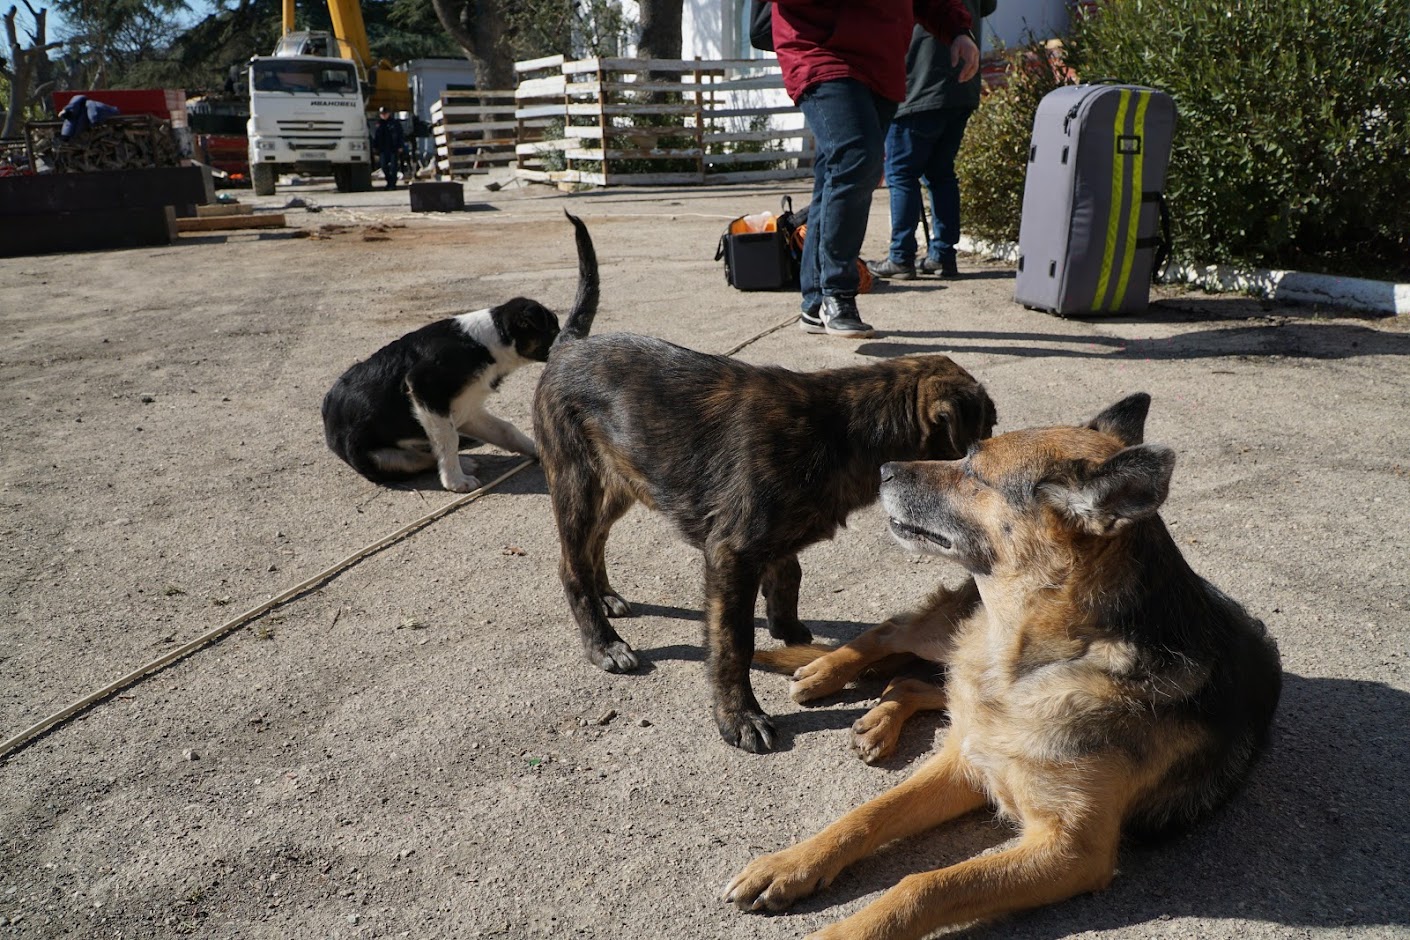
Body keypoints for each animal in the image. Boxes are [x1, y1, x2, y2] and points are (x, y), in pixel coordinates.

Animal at [322, 212, 597, 493]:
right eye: (551, 328)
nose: (576, 341)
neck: (485, 342)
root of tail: (331, 435)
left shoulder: (468, 408)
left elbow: (505, 430)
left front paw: (538, 451)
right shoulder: (424, 388)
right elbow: (448, 439)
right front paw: (455, 481)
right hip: (384, 458)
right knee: (422, 459)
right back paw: (462, 465)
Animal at [721, 397, 1285, 940]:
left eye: (974, 470)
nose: (882, 469)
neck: (1044, 657)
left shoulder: (1069, 849)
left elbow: (926, 884)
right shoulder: (969, 765)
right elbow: (868, 814)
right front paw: (790, 863)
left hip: (960, 671)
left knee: (918, 683)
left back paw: (879, 721)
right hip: (945, 634)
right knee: (889, 637)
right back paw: (825, 672)